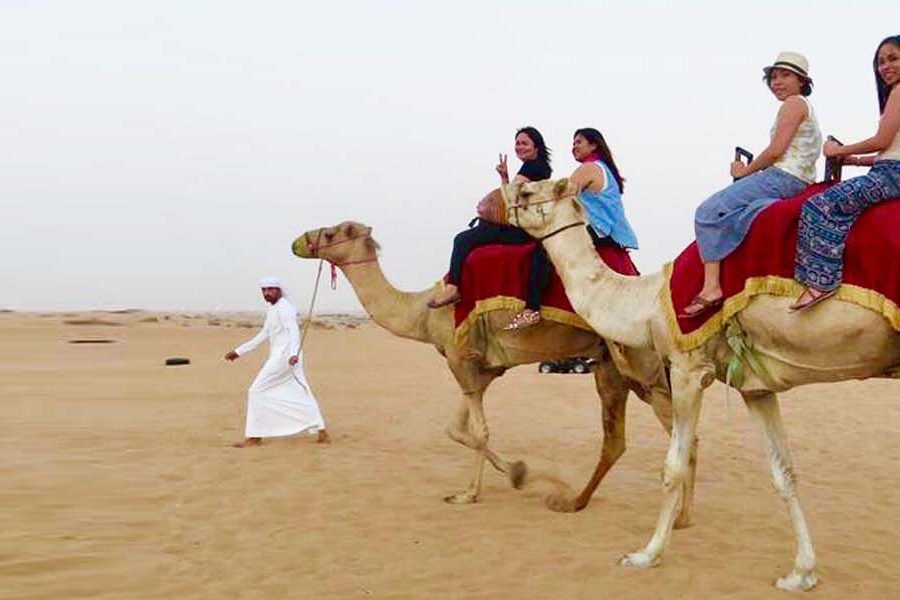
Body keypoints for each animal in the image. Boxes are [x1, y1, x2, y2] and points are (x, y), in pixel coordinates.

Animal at [294, 220, 688, 516]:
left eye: (331, 234)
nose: (299, 242)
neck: (423, 311)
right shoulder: (481, 368)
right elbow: (455, 429)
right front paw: (518, 472)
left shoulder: (460, 357)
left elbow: (480, 431)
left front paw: (469, 493)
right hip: (613, 365)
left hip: (639, 361)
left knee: (674, 425)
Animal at [506, 178, 900, 592]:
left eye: (528, 191)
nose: (497, 199)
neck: (648, 302)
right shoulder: (755, 387)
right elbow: (784, 471)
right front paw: (801, 572)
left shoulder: (687, 369)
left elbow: (673, 466)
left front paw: (646, 553)